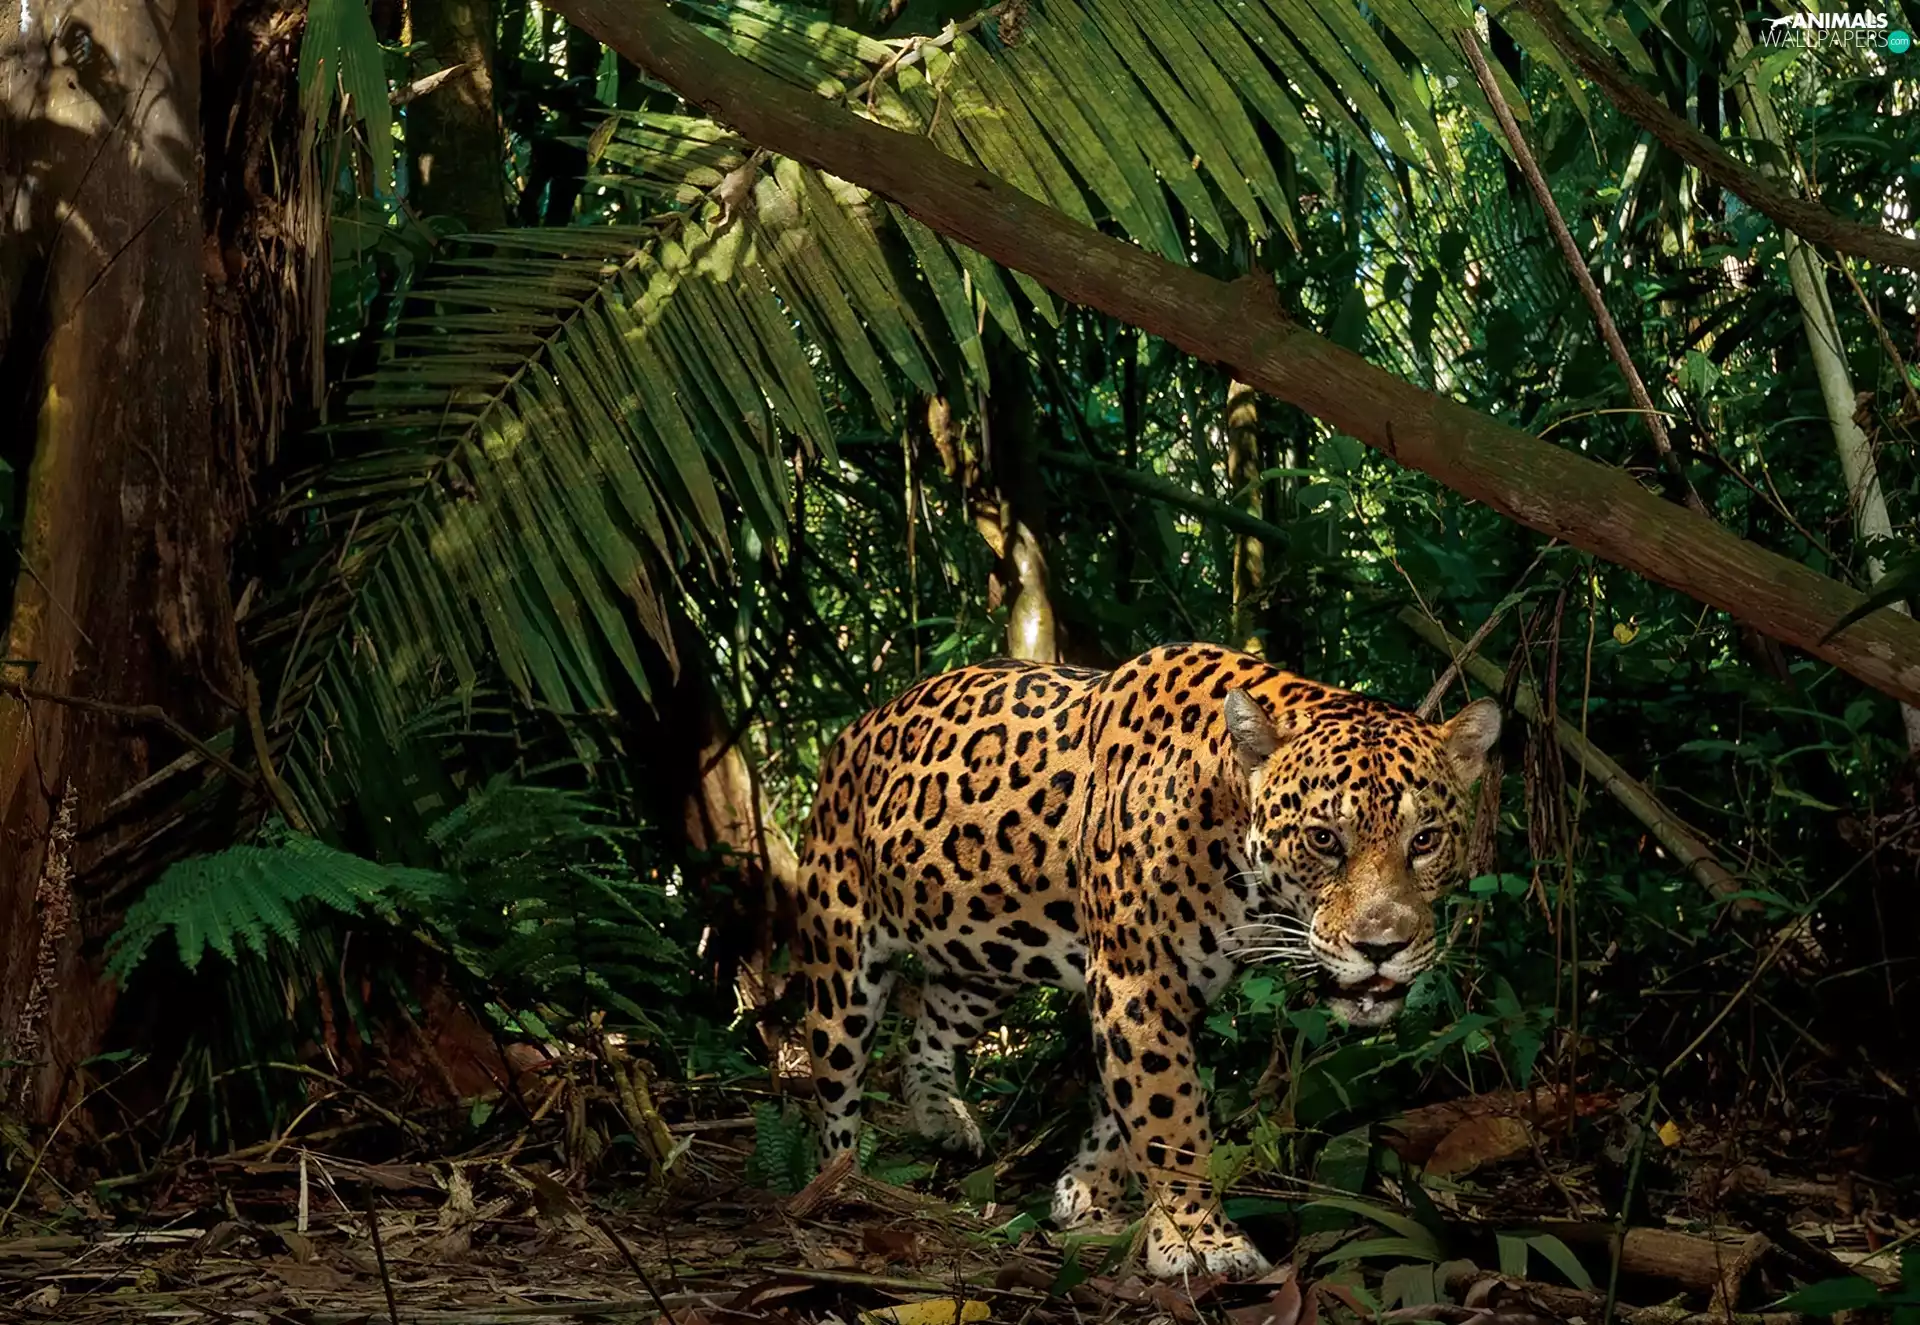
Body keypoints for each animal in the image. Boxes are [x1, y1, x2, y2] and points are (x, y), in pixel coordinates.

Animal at [789, 643, 1500, 1279]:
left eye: (1425, 840)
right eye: (1324, 840)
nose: (1382, 947)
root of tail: (852, 730)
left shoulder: (1167, 988)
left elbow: (1122, 1106)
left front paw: (1087, 1192)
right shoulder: (1137, 977)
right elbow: (1168, 1113)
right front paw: (1201, 1240)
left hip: (983, 955)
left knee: (927, 1032)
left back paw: (941, 1117)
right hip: (841, 956)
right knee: (834, 1083)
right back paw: (835, 1186)